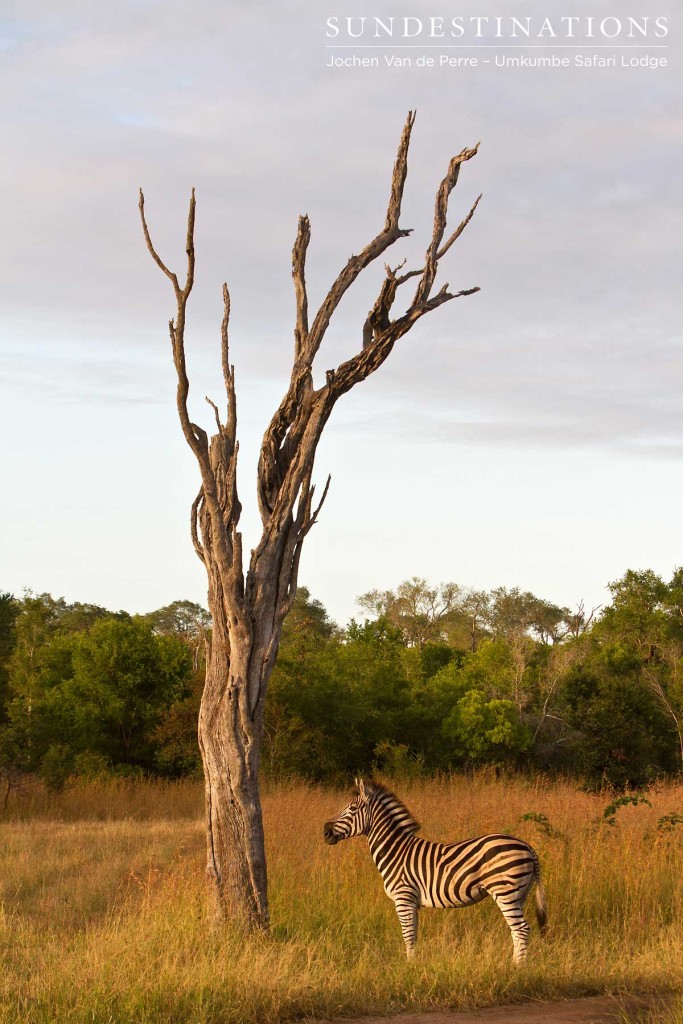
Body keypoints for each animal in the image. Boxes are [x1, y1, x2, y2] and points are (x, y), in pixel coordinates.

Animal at [323, 778, 548, 962]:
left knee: (522, 930)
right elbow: (414, 935)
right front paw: (414, 965)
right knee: (517, 931)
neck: (396, 851)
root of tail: (527, 846)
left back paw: (516, 968)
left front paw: (409, 967)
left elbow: (408, 936)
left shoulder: (403, 897)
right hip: (519, 894)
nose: (325, 831)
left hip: (505, 891)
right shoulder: (412, 902)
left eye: (352, 809)